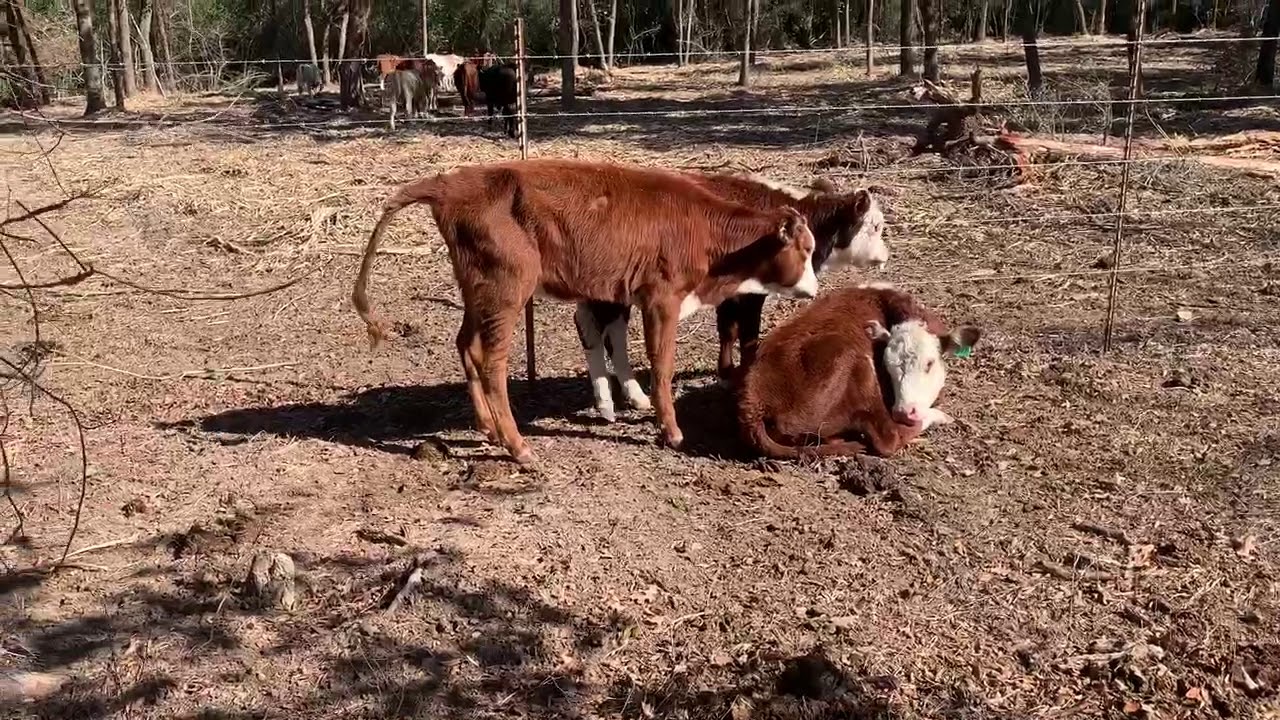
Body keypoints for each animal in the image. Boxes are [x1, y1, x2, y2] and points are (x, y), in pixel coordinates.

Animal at [351, 158, 821, 465]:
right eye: (805, 249)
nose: (816, 290)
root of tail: (451, 182)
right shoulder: (661, 298)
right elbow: (662, 365)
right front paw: (669, 431)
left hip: (478, 291)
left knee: (466, 344)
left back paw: (488, 427)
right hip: (507, 289)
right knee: (491, 361)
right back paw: (517, 446)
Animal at [573, 174, 887, 421]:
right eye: (875, 226)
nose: (884, 256)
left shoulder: (730, 294)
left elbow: (727, 329)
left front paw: (725, 374)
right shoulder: (751, 294)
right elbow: (747, 334)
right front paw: (743, 374)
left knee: (602, 331)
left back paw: (629, 396)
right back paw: (609, 402)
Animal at [736, 283, 980, 460]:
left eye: (929, 364)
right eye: (887, 368)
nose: (904, 412)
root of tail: (752, 399)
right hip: (855, 362)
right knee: (888, 438)